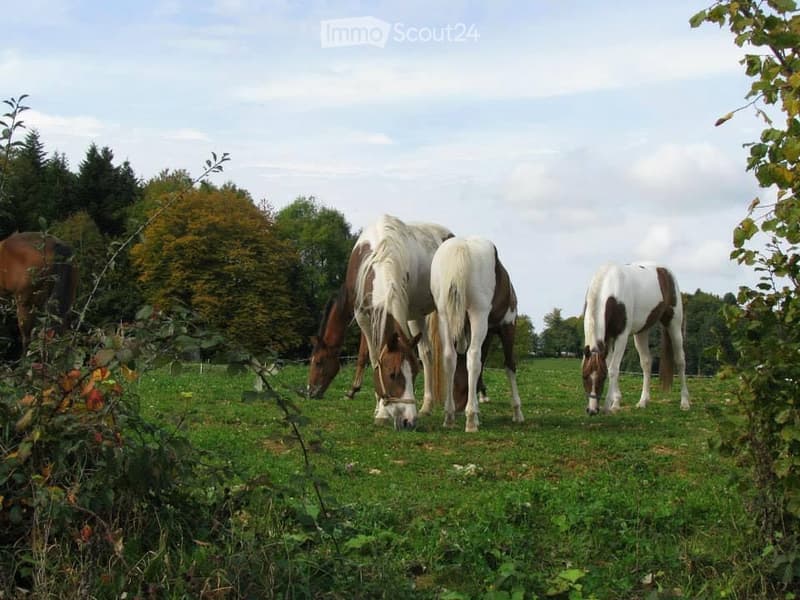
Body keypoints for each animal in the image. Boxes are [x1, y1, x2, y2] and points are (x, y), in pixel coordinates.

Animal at [429, 236, 524, 432]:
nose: (459, 407)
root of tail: (460, 247)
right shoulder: (507, 325)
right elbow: (509, 365)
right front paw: (517, 412)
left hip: (444, 316)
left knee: (449, 358)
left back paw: (449, 415)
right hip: (478, 314)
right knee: (473, 358)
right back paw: (471, 419)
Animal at [581, 262, 690, 415]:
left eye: (602, 378)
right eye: (584, 376)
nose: (592, 410)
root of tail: (665, 270)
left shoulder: (621, 336)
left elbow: (613, 369)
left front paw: (608, 406)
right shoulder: (608, 338)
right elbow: (609, 365)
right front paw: (616, 402)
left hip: (674, 324)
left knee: (680, 361)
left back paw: (685, 402)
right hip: (641, 332)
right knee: (646, 362)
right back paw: (643, 401)